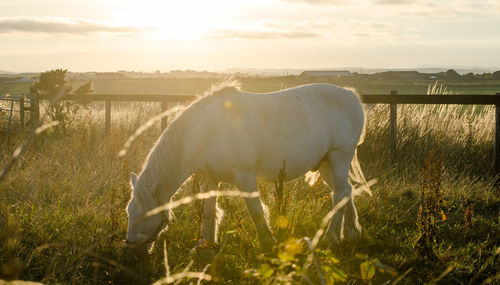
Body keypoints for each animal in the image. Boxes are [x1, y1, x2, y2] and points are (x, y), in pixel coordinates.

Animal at [125, 80, 368, 251]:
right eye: (129, 211)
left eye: (144, 214)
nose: (131, 249)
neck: (207, 131)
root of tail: (350, 94)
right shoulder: (210, 178)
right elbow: (209, 211)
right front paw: (205, 246)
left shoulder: (245, 178)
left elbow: (256, 212)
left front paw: (268, 244)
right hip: (326, 164)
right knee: (346, 190)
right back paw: (352, 232)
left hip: (339, 157)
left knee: (339, 195)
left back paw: (331, 238)